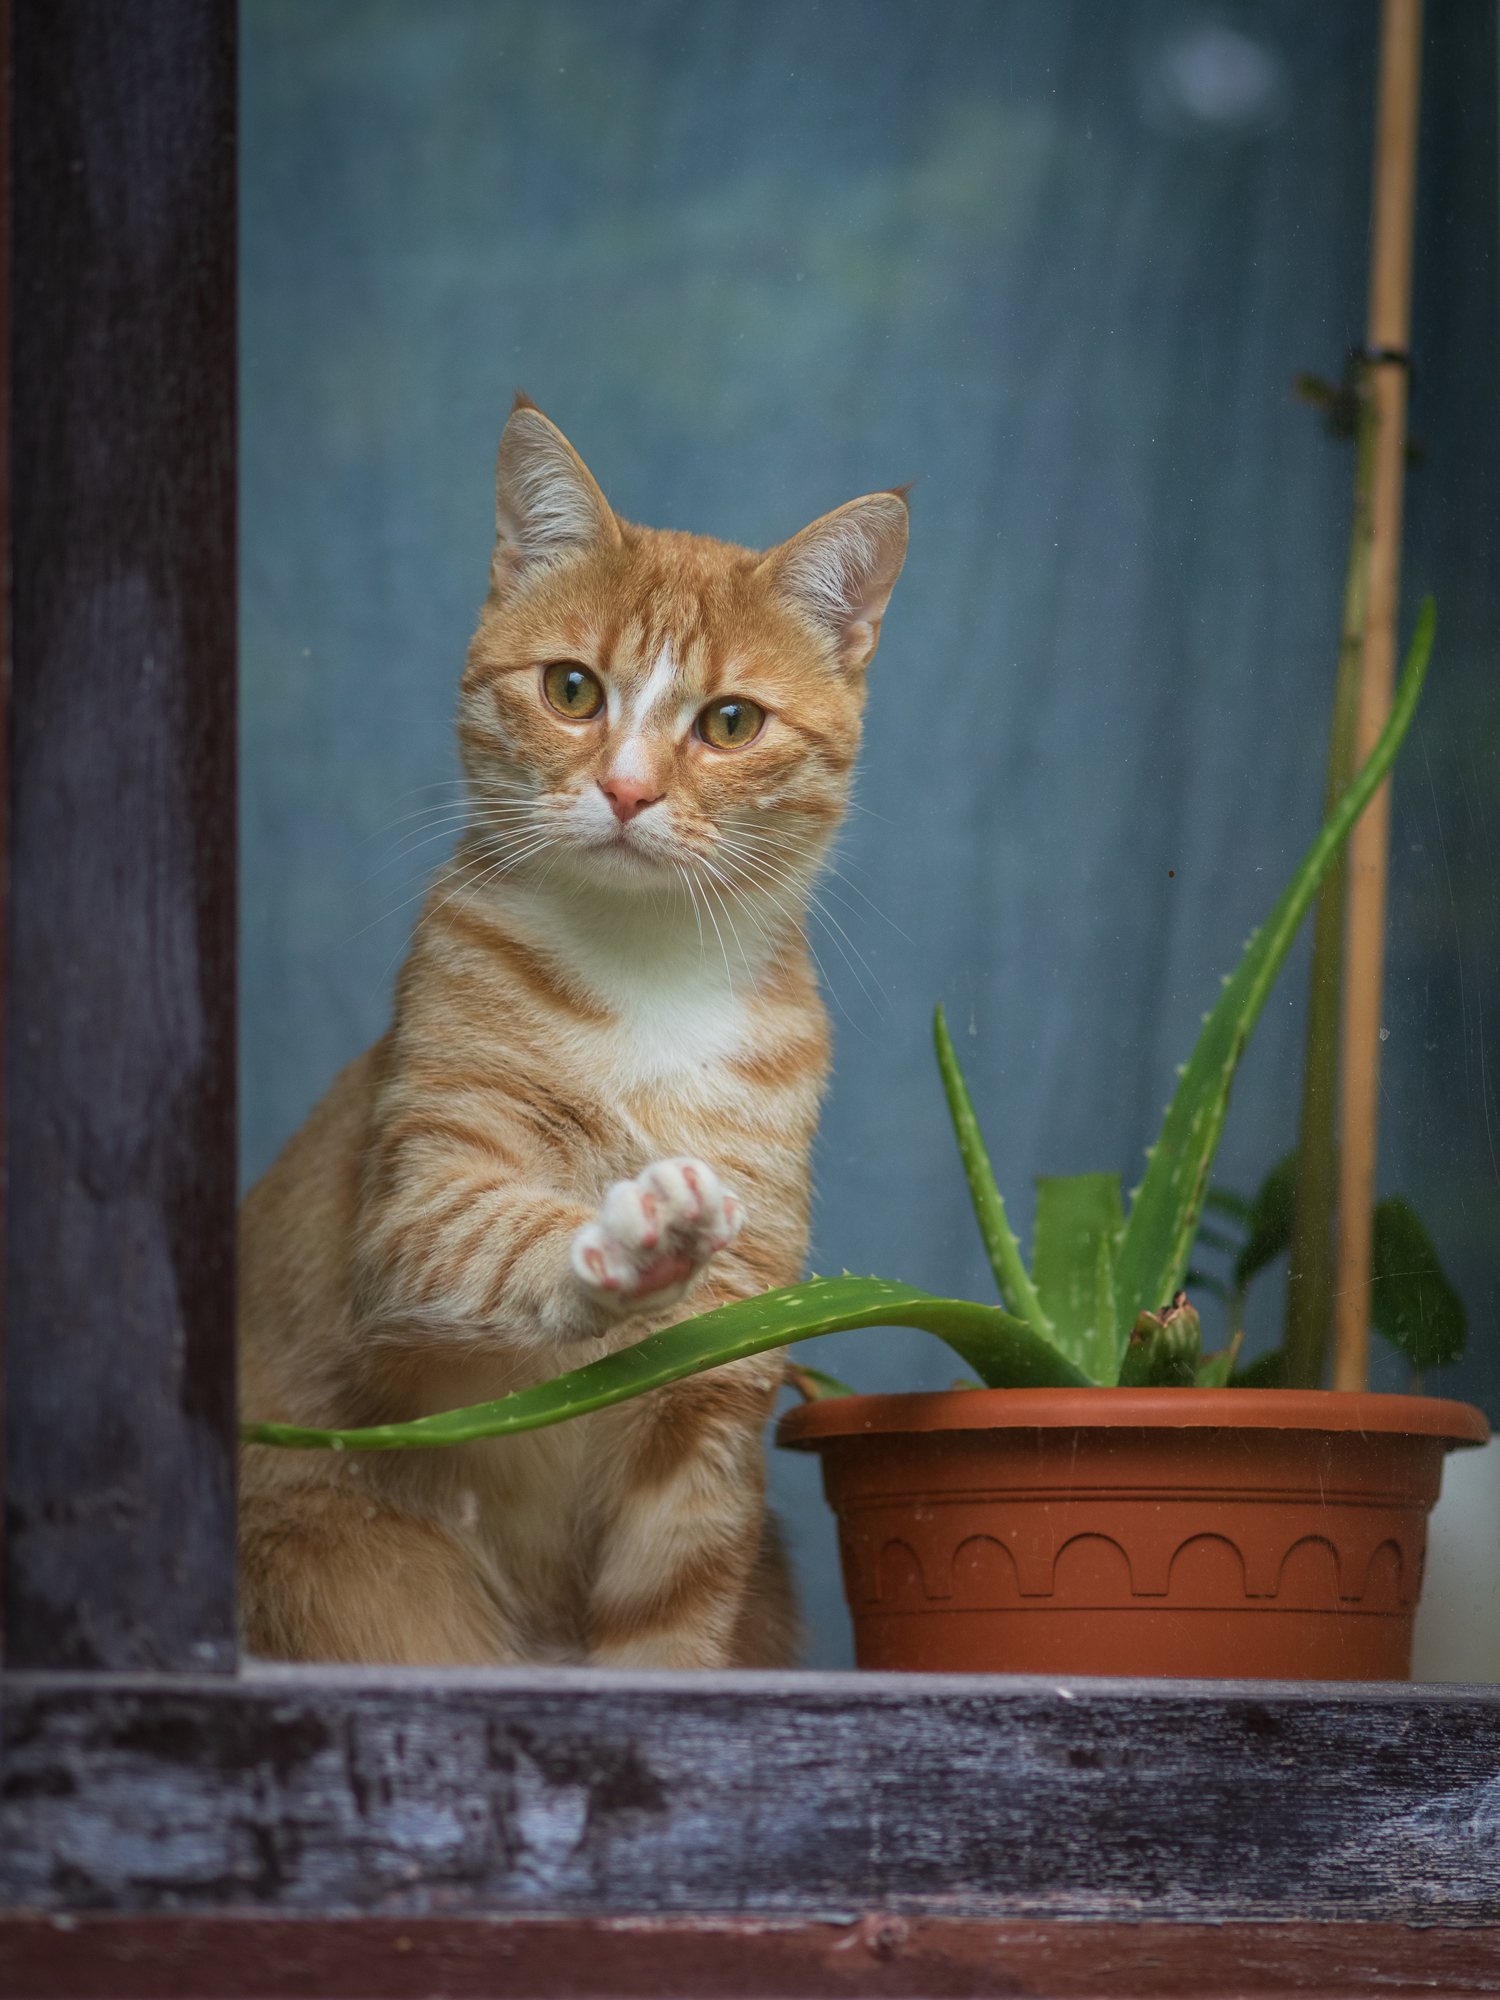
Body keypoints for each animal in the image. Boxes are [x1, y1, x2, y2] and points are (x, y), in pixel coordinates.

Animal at [241, 398, 912, 1664]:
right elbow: (497, 1235)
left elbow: (671, 1616)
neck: (644, 983)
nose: (630, 789)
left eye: (729, 721)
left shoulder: (720, 1372)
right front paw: (628, 1232)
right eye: (570, 690)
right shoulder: (417, 1206)